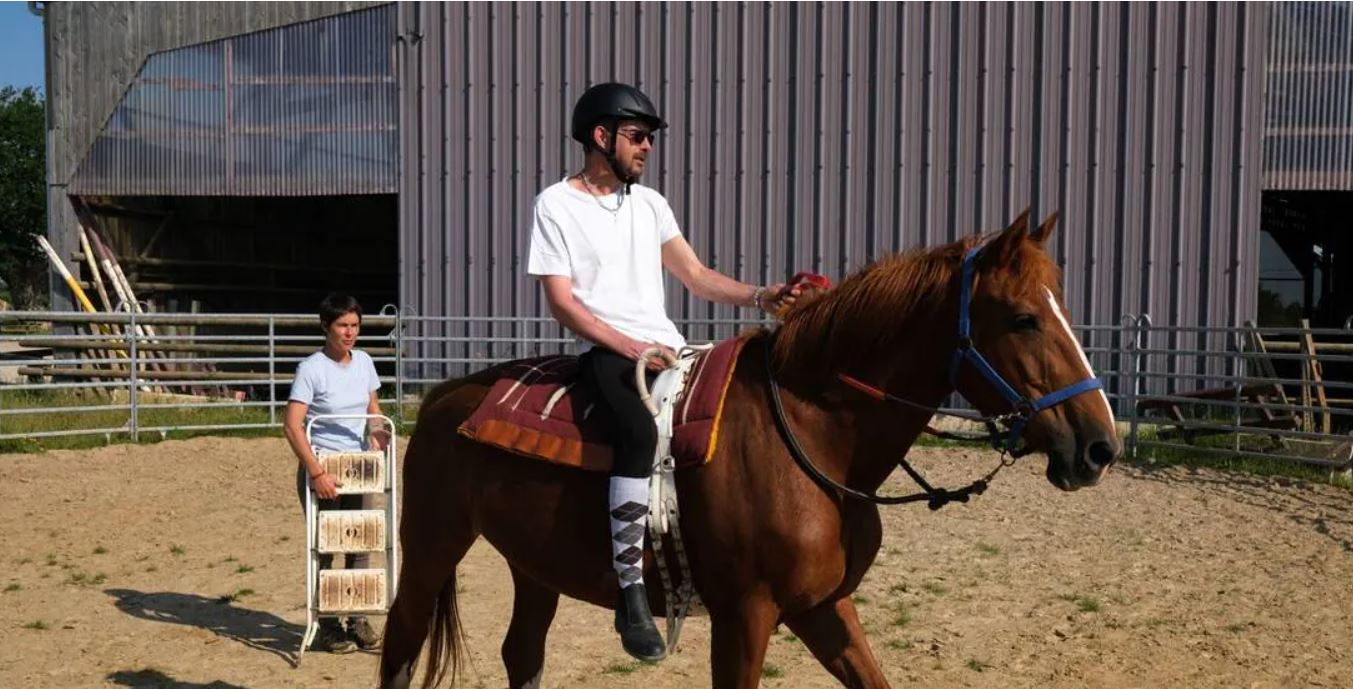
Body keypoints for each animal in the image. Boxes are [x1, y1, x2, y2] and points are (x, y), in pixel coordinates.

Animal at [378, 211, 1120, 687]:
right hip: (431, 548)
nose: (1099, 446)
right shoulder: (744, 617)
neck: (812, 435)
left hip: (534, 566)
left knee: (521, 654)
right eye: (1023, 318)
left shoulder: (823, 608)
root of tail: (444, 399)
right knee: (401, 647)